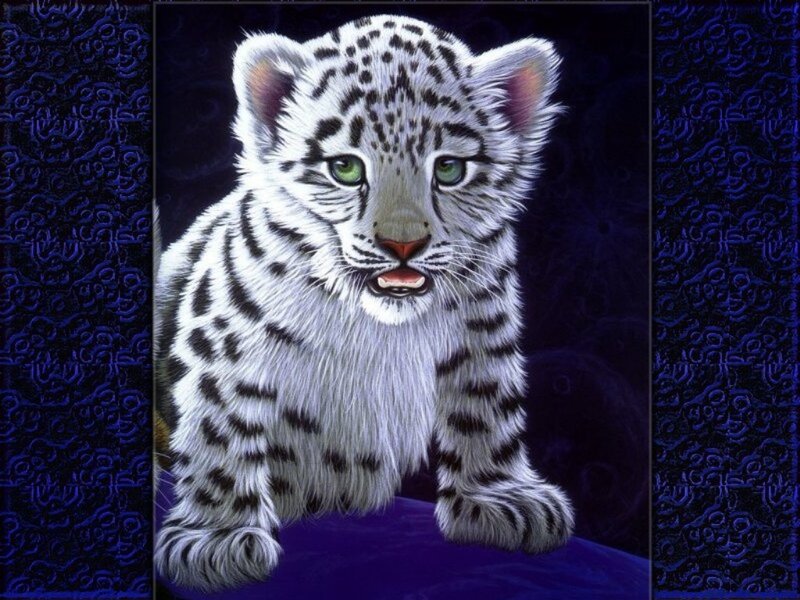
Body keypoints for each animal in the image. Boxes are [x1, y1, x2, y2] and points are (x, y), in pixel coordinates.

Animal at [154, 14, 574, 591]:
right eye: (346, 168)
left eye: (449, 169)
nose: (403, 244)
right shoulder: (226, 343)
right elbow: (222, 433)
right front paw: (215, 541)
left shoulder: (484, 334)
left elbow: (487, 410)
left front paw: (501, 498)